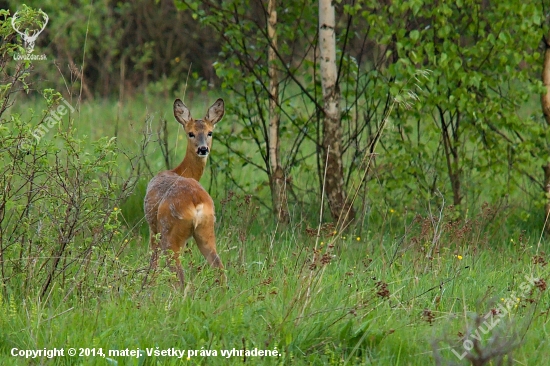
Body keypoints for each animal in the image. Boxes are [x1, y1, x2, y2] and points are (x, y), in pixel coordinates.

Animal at [146, 98, 227, 288]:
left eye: (210, 133)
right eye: (191, 133)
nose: (203, 149)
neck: (179, 171)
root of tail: (196, 202)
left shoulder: (152, 228)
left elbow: (153, 263)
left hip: (170, 232)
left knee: (179, 276)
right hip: (206, 230)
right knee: (219, 268)